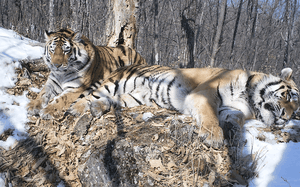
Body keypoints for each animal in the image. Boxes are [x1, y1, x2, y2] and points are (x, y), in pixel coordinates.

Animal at [68, 64, 300, 148]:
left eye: (296, 111)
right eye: (290, 97)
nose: (287, 117)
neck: (249, 99)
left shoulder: (232, 110)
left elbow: (234, 120)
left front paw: (233, 134)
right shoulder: (205, 94)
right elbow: (210, 117)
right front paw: (214, 137)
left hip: (133, 98)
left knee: (110, 100)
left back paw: (98, 108)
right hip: (117, 83)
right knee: (89, 96)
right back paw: (75, 109)